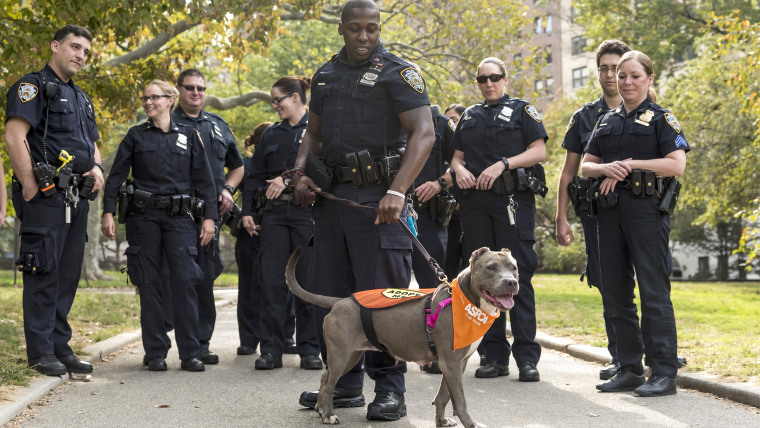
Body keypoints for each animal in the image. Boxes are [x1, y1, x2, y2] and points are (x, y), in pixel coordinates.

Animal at [288, 246, 520, 426]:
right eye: (491, 267)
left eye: (514, 268)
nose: (511, 282)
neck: (464, 300)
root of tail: (340, 301)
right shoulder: (451, 362)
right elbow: (459, 400)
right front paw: (470, 424)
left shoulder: (457, 363)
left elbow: (444, 396)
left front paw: (441, 421)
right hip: (342, 354)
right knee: (329, 383)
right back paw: (328, 415)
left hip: (351, 355)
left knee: (325, 377)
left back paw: (320, 408)